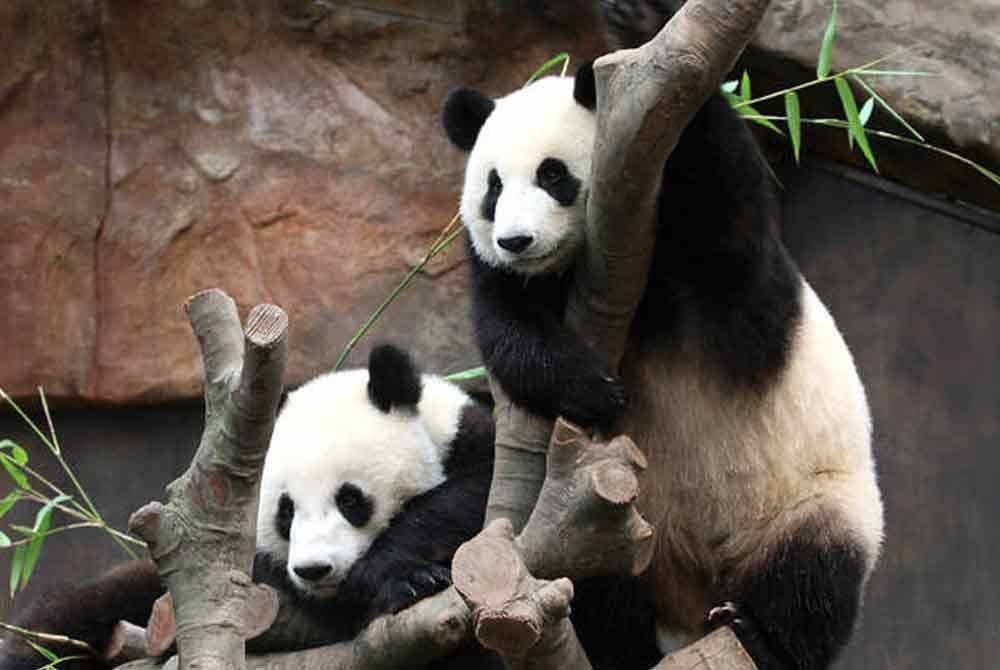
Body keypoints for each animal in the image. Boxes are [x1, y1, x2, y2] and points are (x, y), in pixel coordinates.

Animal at [0, 344, 497, 670]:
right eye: (285, 512)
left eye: (351, 499)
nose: (314, 570)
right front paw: (397, 584)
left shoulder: (478, 444)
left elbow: (469, 499)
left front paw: (407, 576)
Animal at [439, 3, 884, 668]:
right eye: (492, 187)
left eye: (553, 176)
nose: (517, 242)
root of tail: (691, 600)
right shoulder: (503, 276)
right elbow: (506, 332)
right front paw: (592, 389)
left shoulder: (716, 269)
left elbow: (730, 222)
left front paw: (641, 23)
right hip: (612, 529)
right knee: (597, 585)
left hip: (815, 500)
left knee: (813, 573)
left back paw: (759, 633)